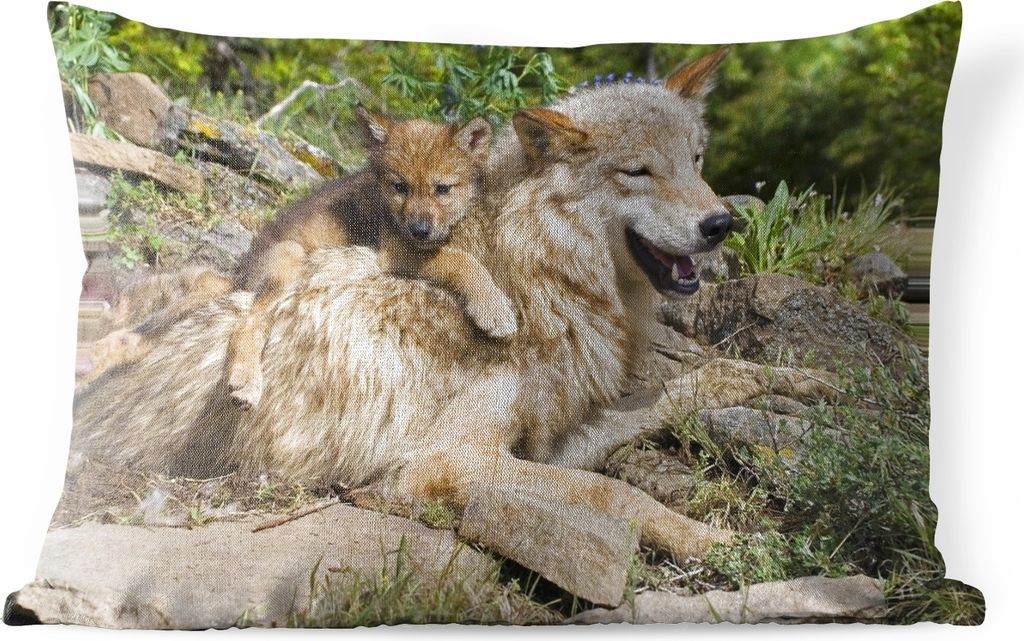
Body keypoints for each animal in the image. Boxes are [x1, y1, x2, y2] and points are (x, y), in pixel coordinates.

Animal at [72, 49, 829, 602]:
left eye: (695, 161)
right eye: (638, 171)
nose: (722, 223)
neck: (534, 278)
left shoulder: (548, 437)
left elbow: (698, 380)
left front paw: (801, 380)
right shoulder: (441, 462)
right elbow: (616, 491)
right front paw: (726, 543)